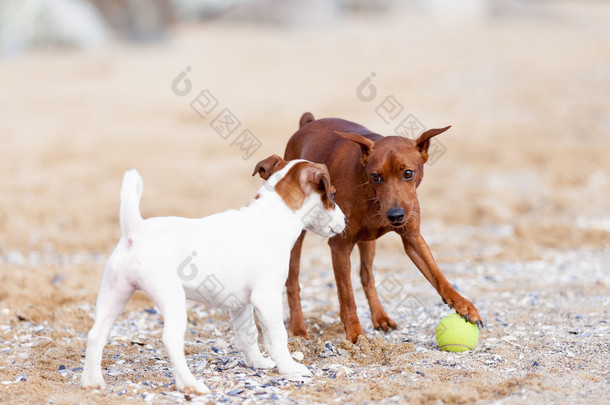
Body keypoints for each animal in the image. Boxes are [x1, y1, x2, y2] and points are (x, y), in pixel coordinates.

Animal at [82, 154, 346, 392]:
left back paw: (91, 381)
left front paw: (257, 362)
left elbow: (248, 336)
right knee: (170, 340)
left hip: (114, 295)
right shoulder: (267, 298)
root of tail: (135, 231)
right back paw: (190, 384)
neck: (271, 217)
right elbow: (277, 337)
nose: (346, 219)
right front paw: (289, 368)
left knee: (95, 335)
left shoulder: (240, 304)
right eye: (333, 194)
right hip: (171, 298)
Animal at [282, 112, 482, 342]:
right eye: (376, 176)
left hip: (368, 243)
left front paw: (463, 304)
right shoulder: (340, 247)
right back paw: (298, 328)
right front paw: (356, 334)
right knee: (293, 281)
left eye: (408, 173)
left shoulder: (413, 238)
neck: (370, 194)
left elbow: (437, 274)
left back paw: (380, 317)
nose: (395, 215)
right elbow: (347, 296)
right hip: (296, 240)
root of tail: (307, 123)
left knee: (367, 276)